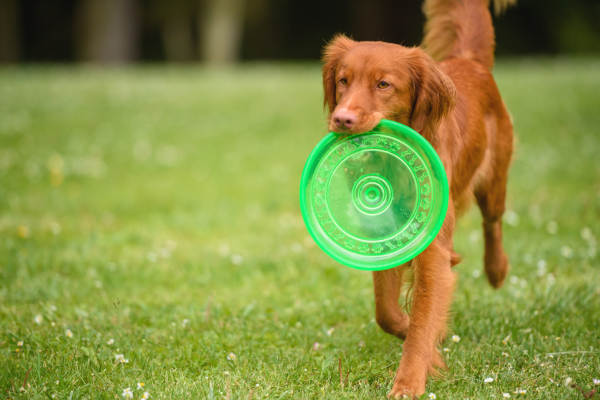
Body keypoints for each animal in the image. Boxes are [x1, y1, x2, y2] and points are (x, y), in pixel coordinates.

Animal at [324, 0, 516, 396]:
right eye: (343, 80)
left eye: (383, 84)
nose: (342, 118)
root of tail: (468, 59)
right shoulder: (387, 236)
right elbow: (386, 310)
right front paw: (410, 329)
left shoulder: (433, 253)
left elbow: (423, 321)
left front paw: (409, 381)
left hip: (494, 181)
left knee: (493, 223)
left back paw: (496, 270)